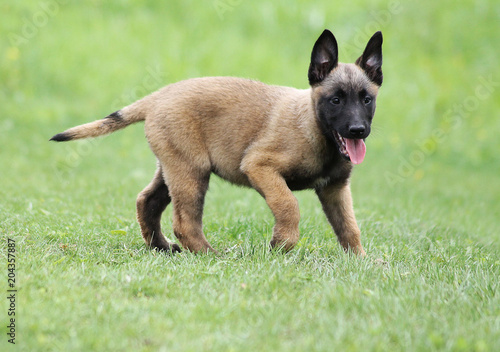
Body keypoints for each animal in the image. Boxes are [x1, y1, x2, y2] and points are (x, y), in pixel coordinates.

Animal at [50, 29, 382, 256]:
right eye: (336, 99)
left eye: (366, 99)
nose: (358, 130)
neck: (315, 127)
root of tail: (158, 95)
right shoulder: (260, 166)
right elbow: (288, 204)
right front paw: (281, 244)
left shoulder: (335, 189)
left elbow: (349, 226)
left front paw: (360, 259)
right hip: (192, 172)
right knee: (184, 221)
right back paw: (209, 254)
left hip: (173, 167)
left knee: (148, 202)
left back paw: (161, 247)